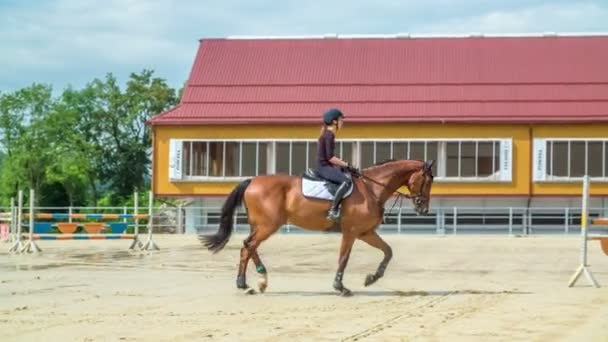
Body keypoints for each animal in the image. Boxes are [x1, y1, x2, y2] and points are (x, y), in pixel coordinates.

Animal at [198, 159, 432, 296]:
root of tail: (252, 181)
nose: (424, 208)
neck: (371, 188)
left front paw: (372, 278)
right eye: (427, 181)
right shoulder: (351, 232)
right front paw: (340, 287)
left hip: (261, 225)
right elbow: (344, 258)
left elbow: (388, 251)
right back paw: (244, 284)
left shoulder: (365, 232)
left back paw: (260, 280)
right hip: (268, 225)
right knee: (249, 246)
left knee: (248, 246)